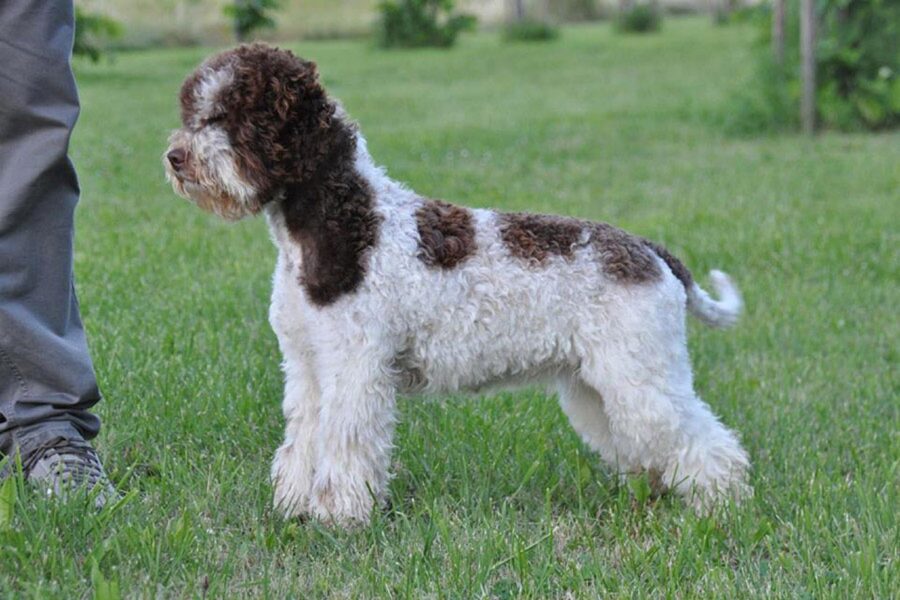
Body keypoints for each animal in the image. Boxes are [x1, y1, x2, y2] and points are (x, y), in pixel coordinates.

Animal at [165, 44, 748, 528]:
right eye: (193, 112)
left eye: (235, 115)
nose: (175, 157)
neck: (345, 221)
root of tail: (649, 250)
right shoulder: (307, 368)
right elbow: (301, 443)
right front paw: (293, 508)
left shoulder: (355, 369)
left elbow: (346, 445)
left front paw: (339, 518)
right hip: (595, 386)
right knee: (650, 449)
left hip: (641, 378)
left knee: (708, 444)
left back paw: (721, 509)